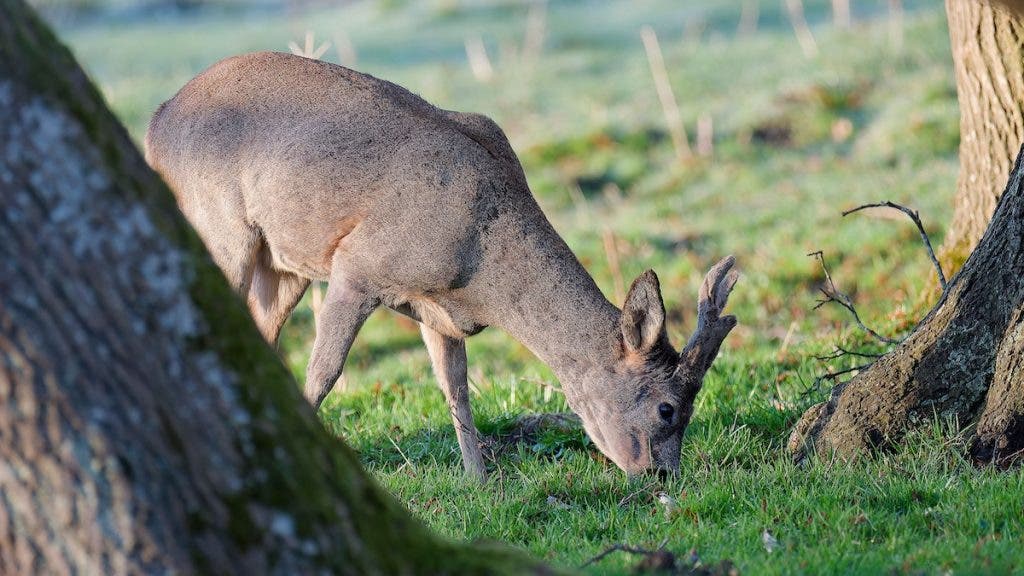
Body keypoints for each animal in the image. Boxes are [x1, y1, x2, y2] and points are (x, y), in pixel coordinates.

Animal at [144, 52, 738, 480]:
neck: (479, 268)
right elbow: (325, 368)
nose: (662, 477)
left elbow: (456, 387)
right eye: (667, 408)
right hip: (219, 222)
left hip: (284, 263)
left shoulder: (439, 311)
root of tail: (155, 121)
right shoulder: (357, 264)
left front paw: (480, 480)